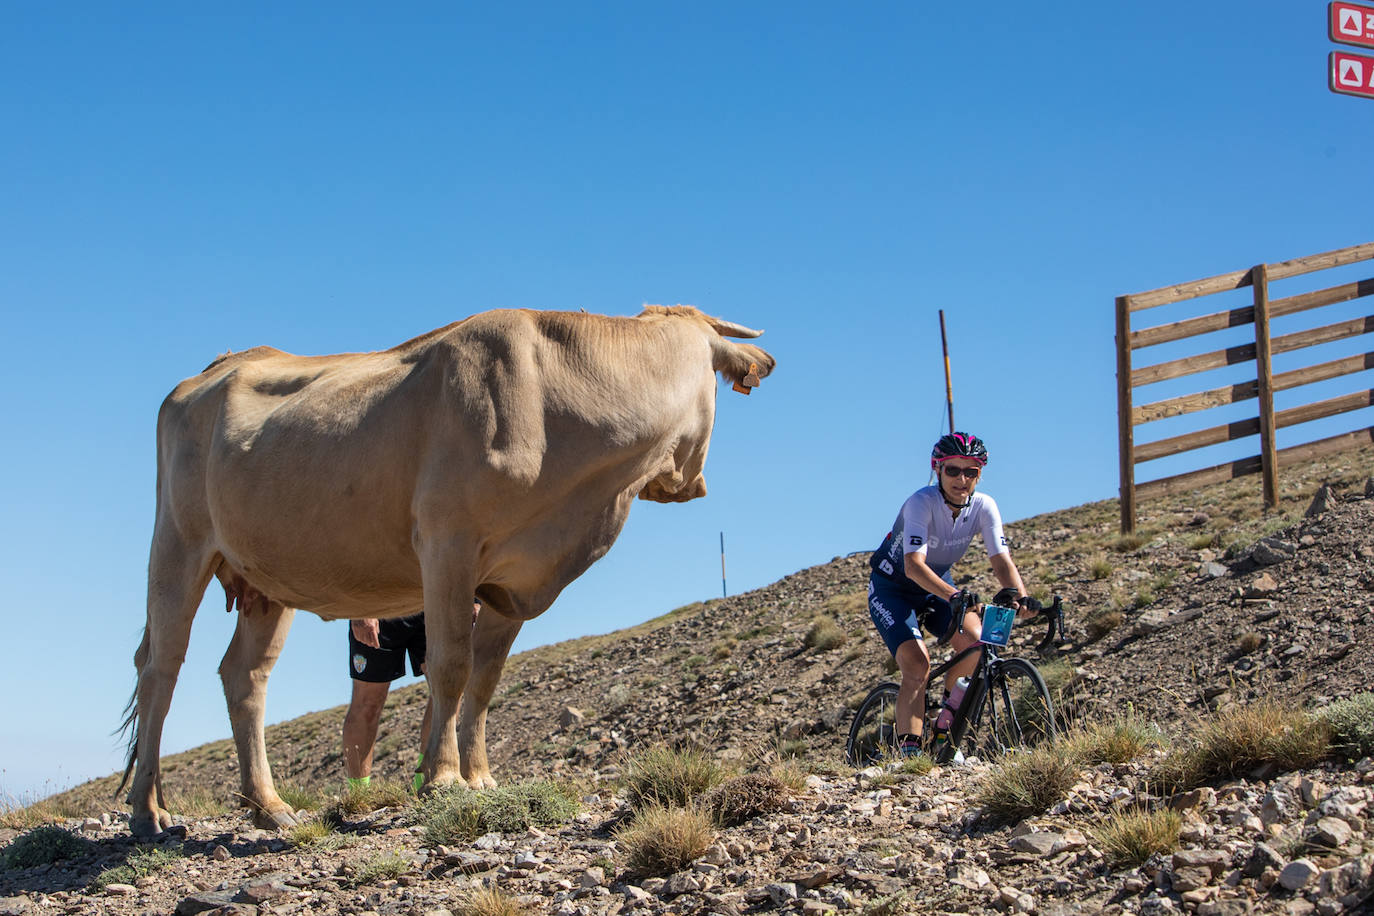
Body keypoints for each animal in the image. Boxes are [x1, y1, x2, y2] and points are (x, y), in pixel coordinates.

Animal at [115, 306, 774, 840]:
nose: (692, 485)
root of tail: (221, 364)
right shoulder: (448, 545)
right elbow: (452, 665)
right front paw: (444, 780)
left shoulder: (512, 582)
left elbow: (484, 681)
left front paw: (479, 776)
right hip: (178, 545)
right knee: (160, 668)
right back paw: (149, 812)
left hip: (265, 577)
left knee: (245, 677)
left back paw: (268, 807)